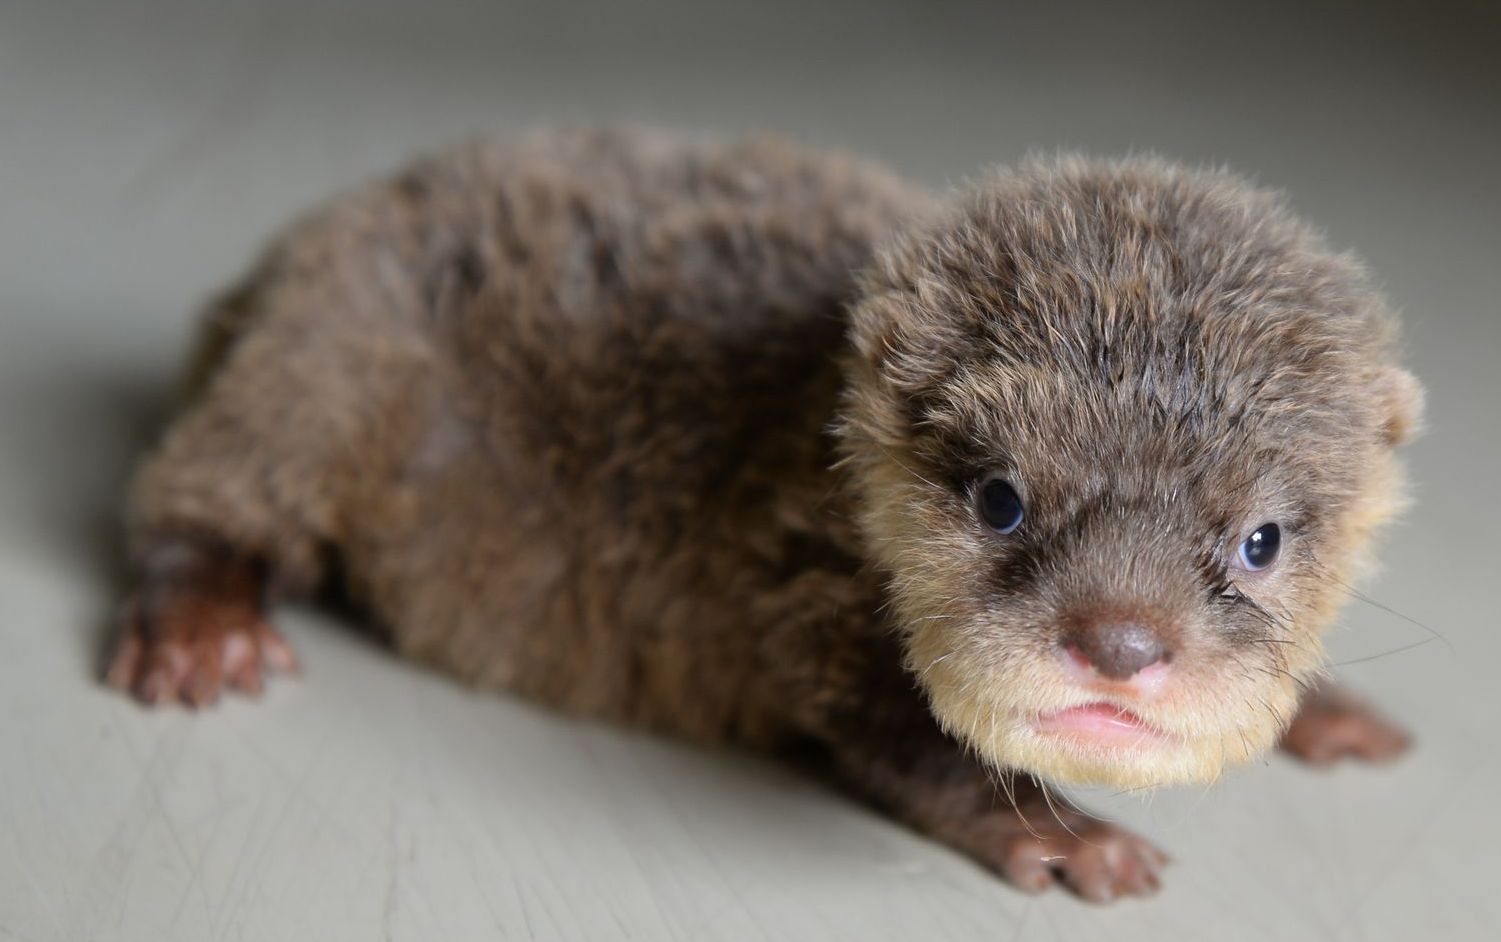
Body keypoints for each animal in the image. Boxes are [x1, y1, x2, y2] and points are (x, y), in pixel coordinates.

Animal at [108, 129, 1416, 900]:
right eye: (1000, 499)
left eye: (1260, 541)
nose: (1121, 644)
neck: (812, 420)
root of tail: (279, 262)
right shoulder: (801, 572)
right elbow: (886, 730)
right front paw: (1058, 834)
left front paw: (1326, 712)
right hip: (327, 355)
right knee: (202, 486)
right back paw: (202, 623)